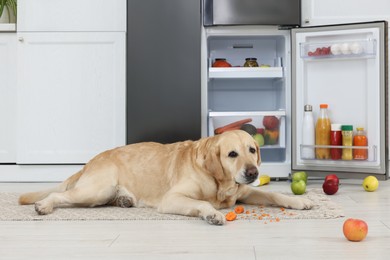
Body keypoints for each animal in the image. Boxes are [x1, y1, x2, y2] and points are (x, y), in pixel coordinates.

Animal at [19, 131, 314, 224]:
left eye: (252, 150)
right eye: (232, 154)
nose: (252, 172)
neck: (219, 183)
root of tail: (90, 161)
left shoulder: (246, 191)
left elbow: (274, 194)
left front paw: (301, 202)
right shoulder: (173, 199)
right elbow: (202, 203)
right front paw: (212, 214)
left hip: (98, 195)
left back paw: (124, 200)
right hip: (96, 189)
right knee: (58, 195)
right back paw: (43, 205)